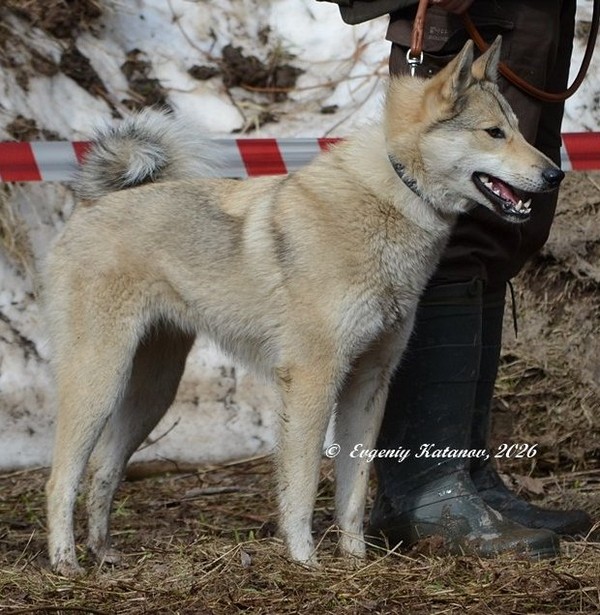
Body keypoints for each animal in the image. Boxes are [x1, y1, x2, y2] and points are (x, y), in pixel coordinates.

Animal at [43, 37, 564, 576]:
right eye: (494, 133)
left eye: (519, 130)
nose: (555, 174)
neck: (393, 192)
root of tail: (92, 206)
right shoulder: (313, 379)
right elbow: (303, 482)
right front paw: (304, 560)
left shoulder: (369, 383)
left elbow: (353, 489)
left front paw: (355, 560)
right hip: (99, 381)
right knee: (61, 479)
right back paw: (66, 563)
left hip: (151, 391)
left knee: (104, 470)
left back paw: (103, 552)